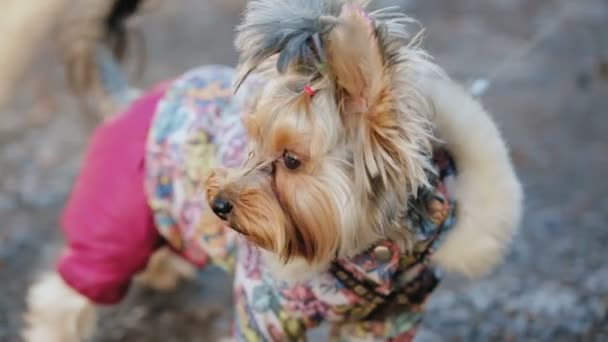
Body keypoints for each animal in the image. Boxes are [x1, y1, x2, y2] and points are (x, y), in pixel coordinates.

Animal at [22, 1, 516, 340]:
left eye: (291, 160)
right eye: (252, 141)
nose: (219, 204)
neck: (368, 250)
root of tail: (129, 100)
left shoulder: (389, 319)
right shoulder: (265, 310)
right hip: (115, 220)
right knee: (64, 294)